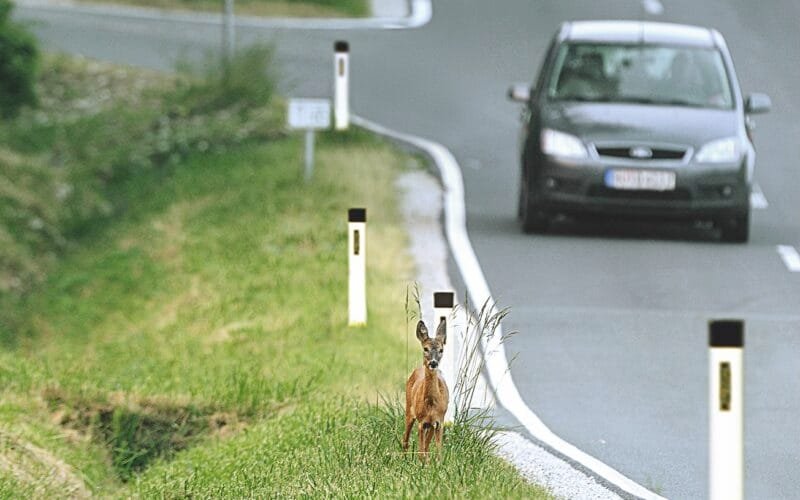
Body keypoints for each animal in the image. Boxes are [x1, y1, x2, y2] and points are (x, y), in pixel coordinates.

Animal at [402, 319, 449, 462]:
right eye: (425, 349)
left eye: (441, 350)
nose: (433, 363)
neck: (431, 404)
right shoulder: (422, 422)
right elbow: (421, 451)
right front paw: (421, 463)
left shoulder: (439, 421)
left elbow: (439, 452)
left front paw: (437, 464)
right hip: (409, 410)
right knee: (405, 439)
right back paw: (404, 459)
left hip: (432, 425)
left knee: (427, 445)